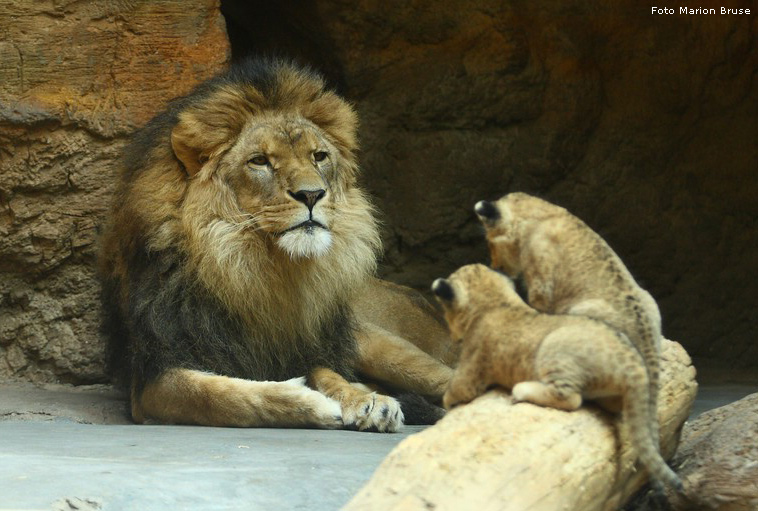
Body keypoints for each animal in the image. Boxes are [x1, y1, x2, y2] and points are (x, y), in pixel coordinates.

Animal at [100, 58, 458, 432]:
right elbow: (222, 396)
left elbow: (328, 374)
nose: (312, 194)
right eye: (259, 161)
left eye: (319, 156)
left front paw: (366, 401)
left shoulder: (307, 346)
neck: (254, 271)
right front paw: (315, 402)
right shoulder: (153, 377)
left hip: (379, 344)